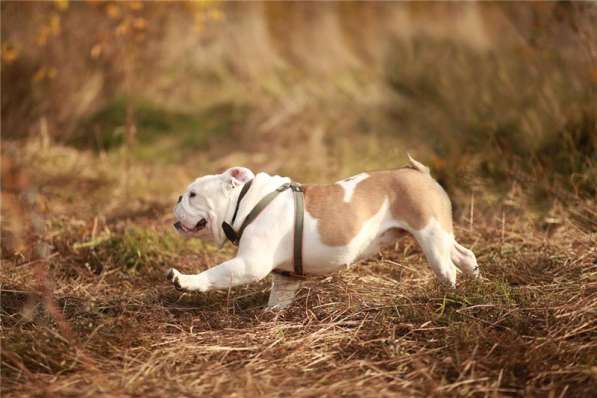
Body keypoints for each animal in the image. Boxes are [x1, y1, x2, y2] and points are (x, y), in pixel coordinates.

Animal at [166, 155, 480, 308]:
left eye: (193, 195)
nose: (178, 198)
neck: (247, 202)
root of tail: (420, 173)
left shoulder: (248, 264)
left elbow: (214, 274)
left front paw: (185, 280)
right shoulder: (285, 278)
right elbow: (277, 302)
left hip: (430, 236)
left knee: (448, 269)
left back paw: (448, 298)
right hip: (441, 233)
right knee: (465, 255)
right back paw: (477, 284)